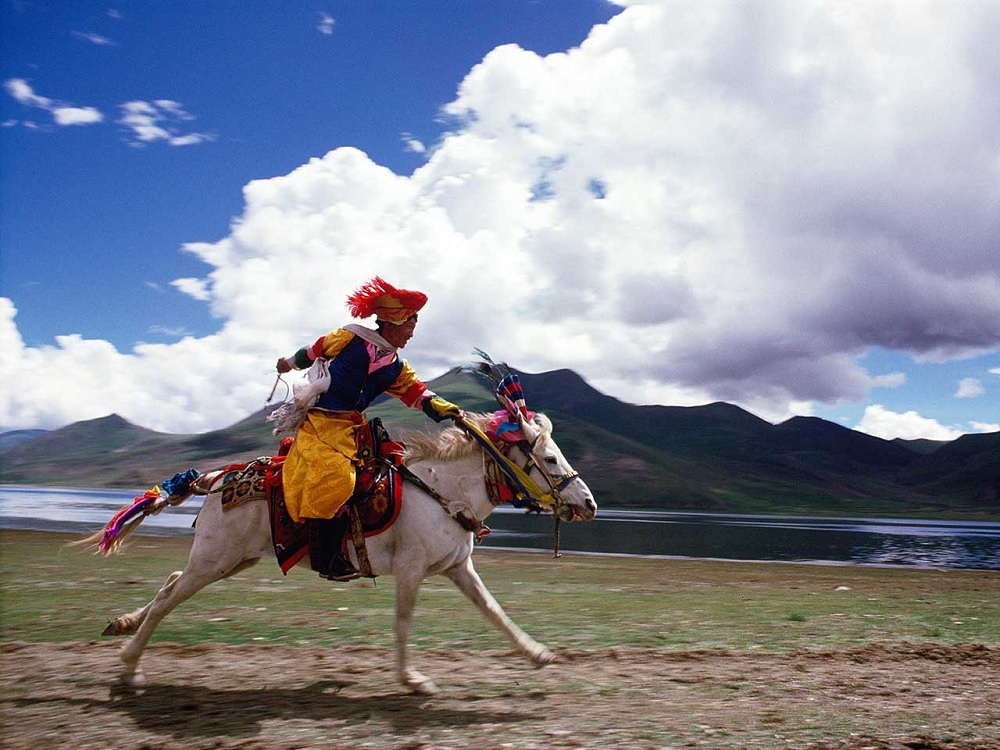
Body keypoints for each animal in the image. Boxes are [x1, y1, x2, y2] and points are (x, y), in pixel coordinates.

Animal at [86, 414, 592, 696]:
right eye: (549, 460)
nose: (588, 504)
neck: (443, 491)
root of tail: (216, 478)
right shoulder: (411, 571)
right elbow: (403, 625)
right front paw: (413, 681)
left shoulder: (456, 568)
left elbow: (494, 611)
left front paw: (537, 654)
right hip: (215, 559)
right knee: (169, 597)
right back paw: (129, 668)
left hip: (230, 560)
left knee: (170, 582)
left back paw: (122, 626)